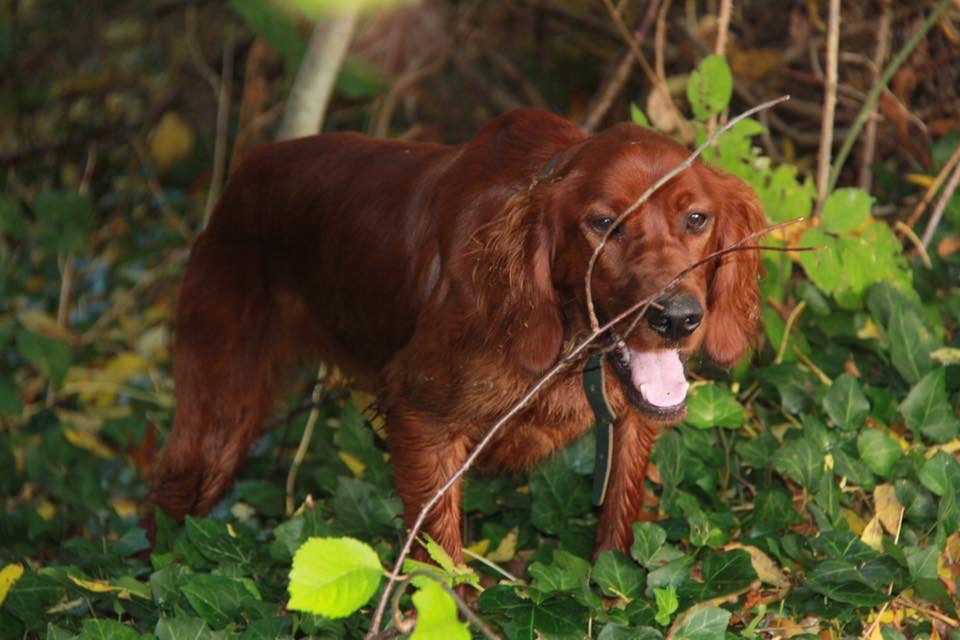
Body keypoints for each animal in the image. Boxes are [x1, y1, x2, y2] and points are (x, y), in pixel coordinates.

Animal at [150, 109, 764, 560]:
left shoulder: (632, 422)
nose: (677, 318)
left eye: (696, 219)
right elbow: (441, 561)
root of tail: (246, 167)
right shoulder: (420, 417)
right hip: (218, 418)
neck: (568, 343)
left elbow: (618, 527)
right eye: (603, 224)